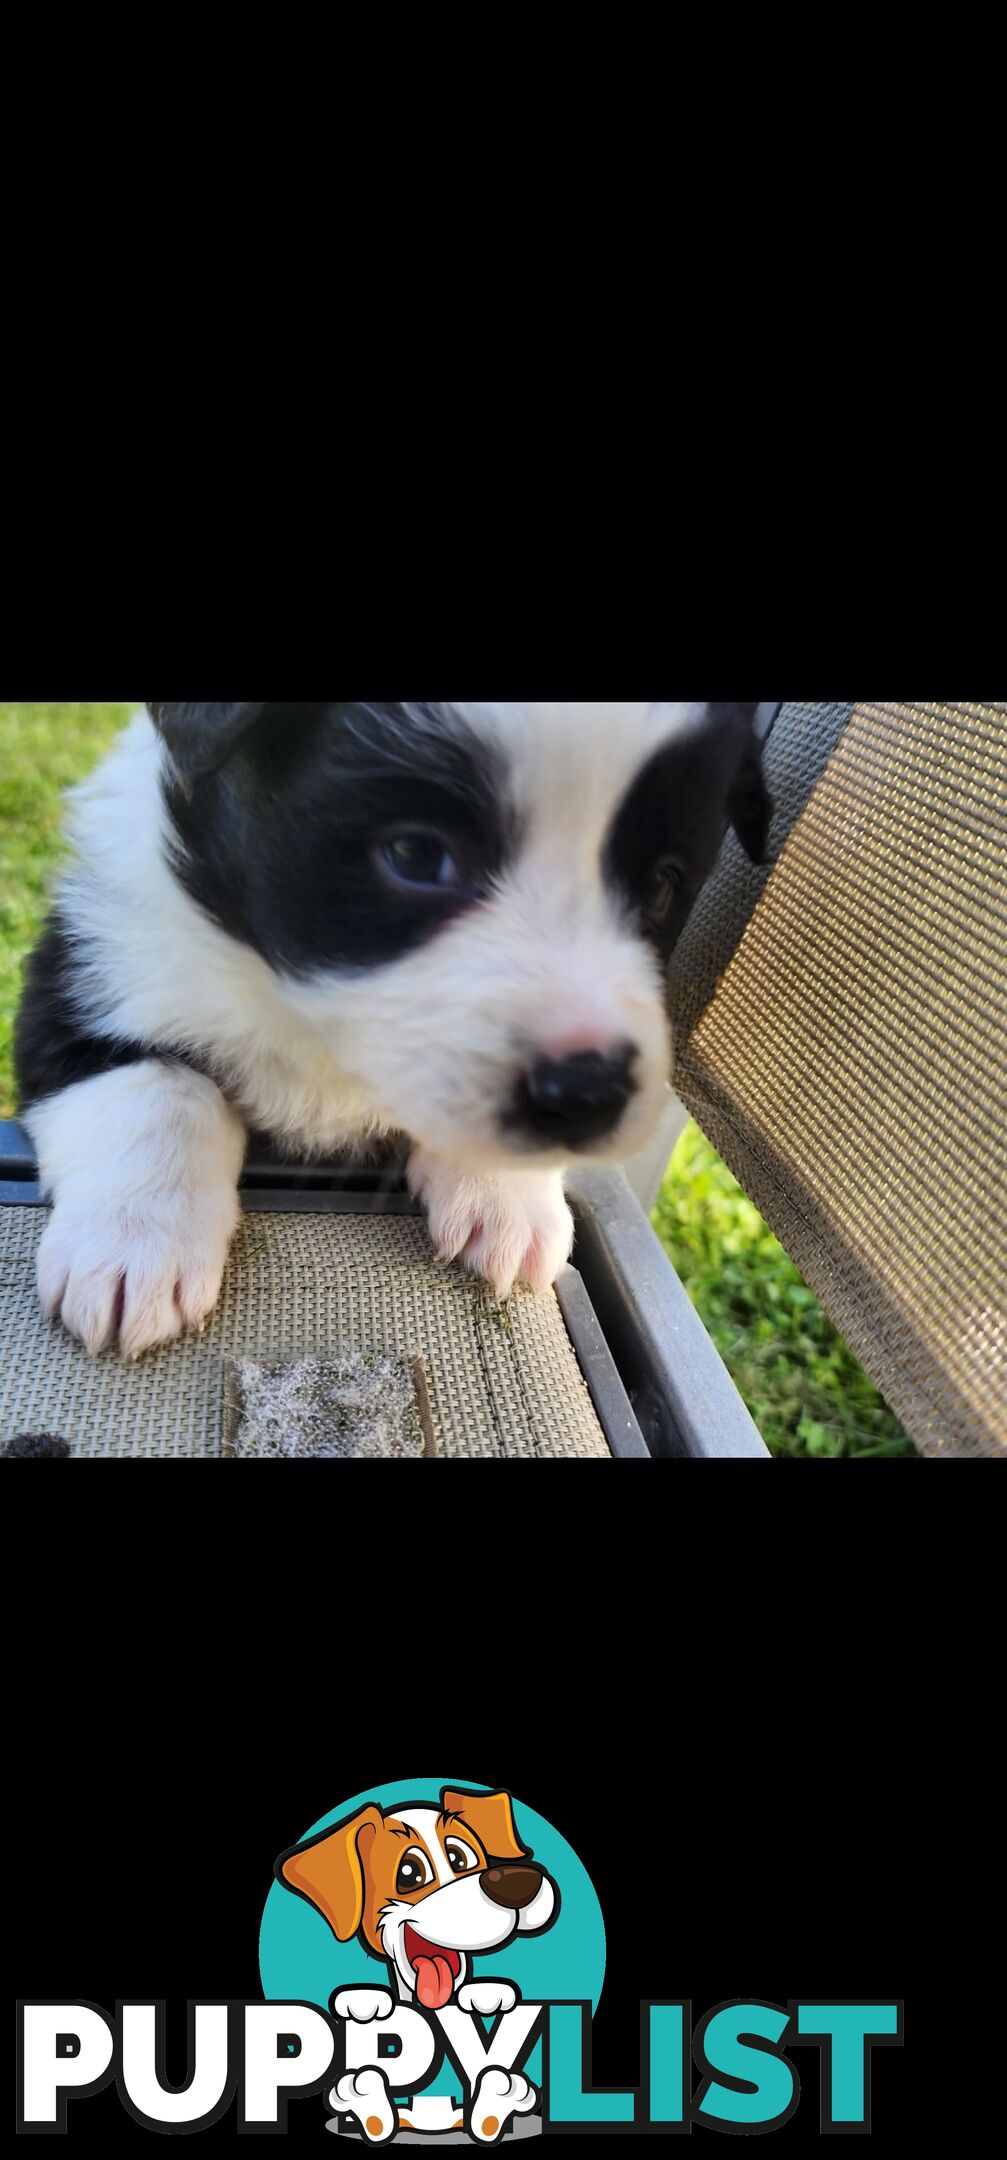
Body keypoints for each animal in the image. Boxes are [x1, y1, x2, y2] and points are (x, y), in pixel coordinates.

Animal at [13, 704, 769, 1347]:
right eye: (414, 856)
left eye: (660, 888)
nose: (587, 1095)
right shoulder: (84, 967)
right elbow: (156, 1090)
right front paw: (135, 1246)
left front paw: (506, 1195)